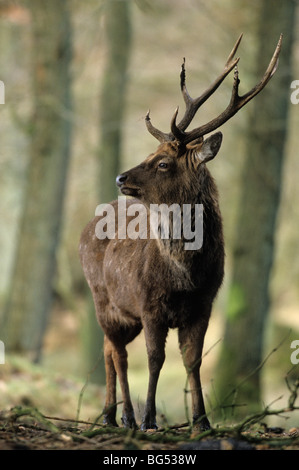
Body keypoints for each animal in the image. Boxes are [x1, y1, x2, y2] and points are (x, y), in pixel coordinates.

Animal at [79, 32, 282, 430]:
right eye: (150, 153)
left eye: (162, 163)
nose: (120, 177)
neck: (185, 274)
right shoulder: (149, 303)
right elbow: (155, 359)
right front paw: (150, 419)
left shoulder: (205, 303)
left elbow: (193, 360)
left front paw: (201, 420)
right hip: (102, 298)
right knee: (117, 352)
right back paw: (122, 416)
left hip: (123, 312)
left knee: (111, 350)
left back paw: (114, 414)